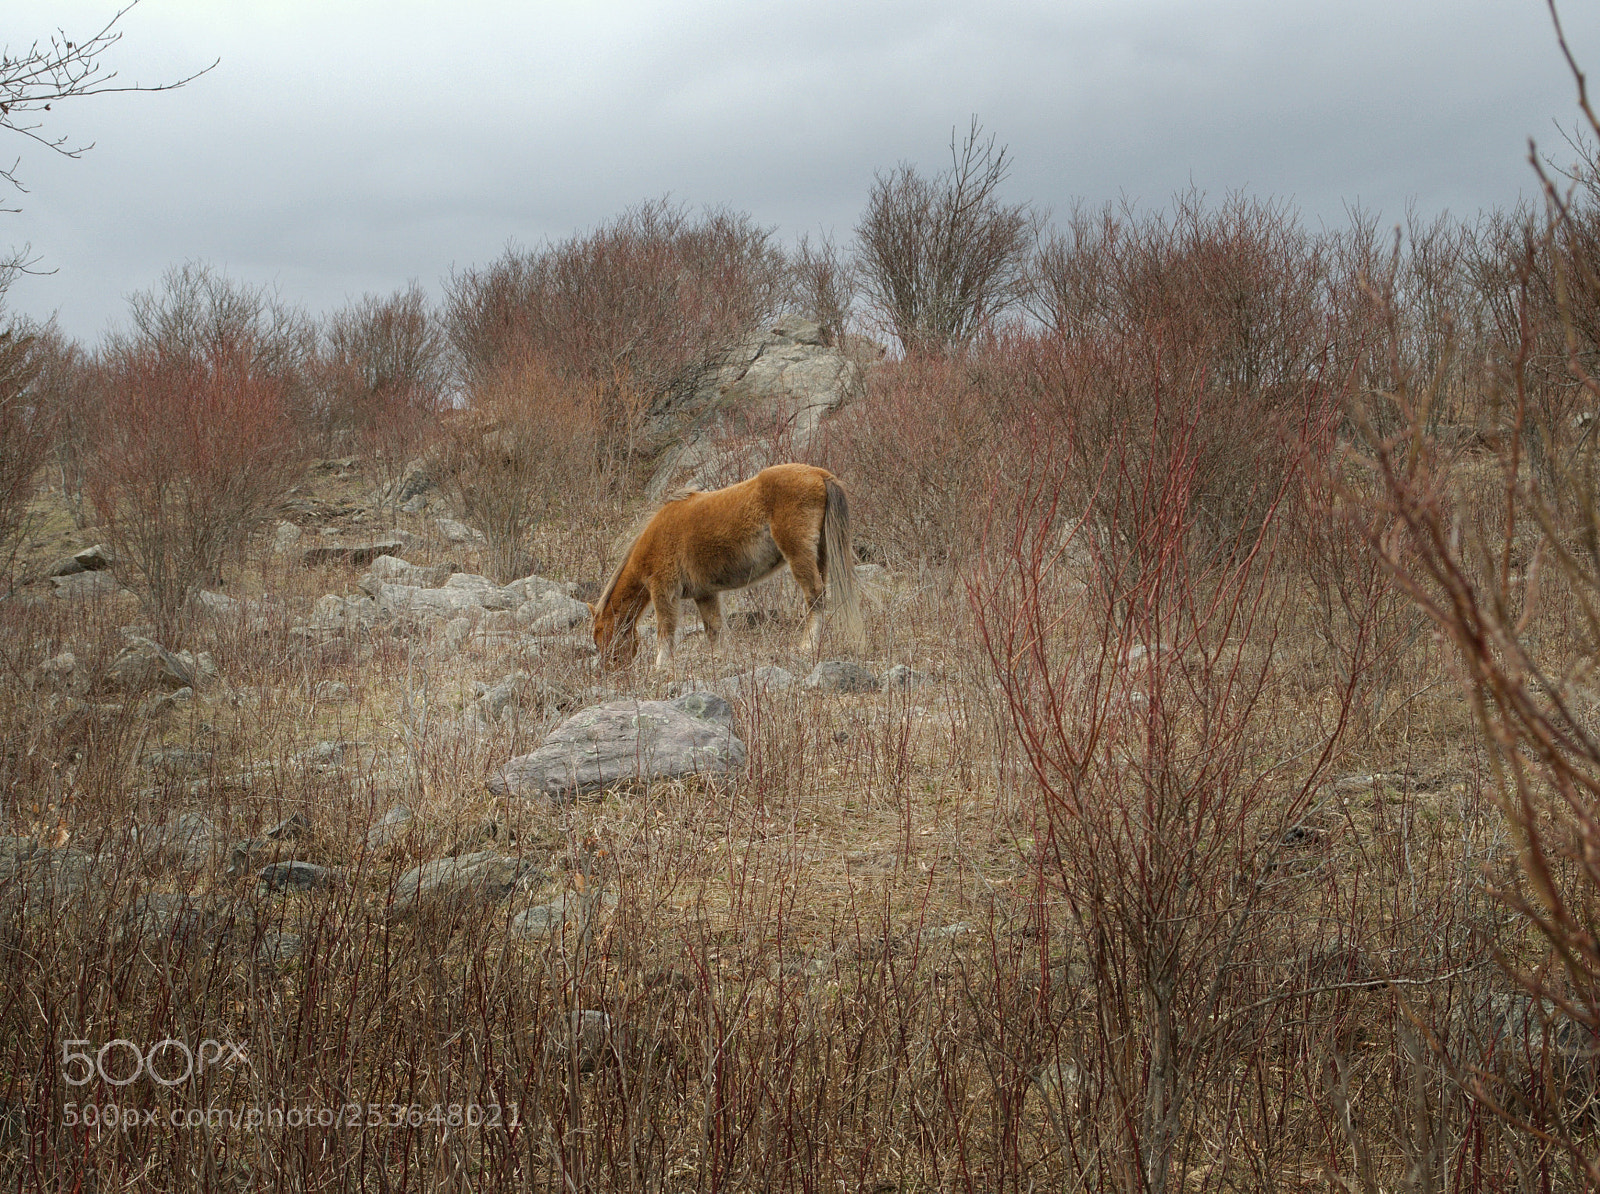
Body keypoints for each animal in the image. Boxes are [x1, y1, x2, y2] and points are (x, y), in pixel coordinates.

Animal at [589, 463, 865, 670]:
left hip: (799, 554)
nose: (609, 671)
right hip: (821, 554)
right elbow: (714, 629)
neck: (654, 538)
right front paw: (719, 660)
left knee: (814, 595)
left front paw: (661, 666)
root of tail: (820, 474)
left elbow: (665, 630)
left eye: (601, 634)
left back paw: (807, 645)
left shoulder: (663, 590)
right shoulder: (705, 594)